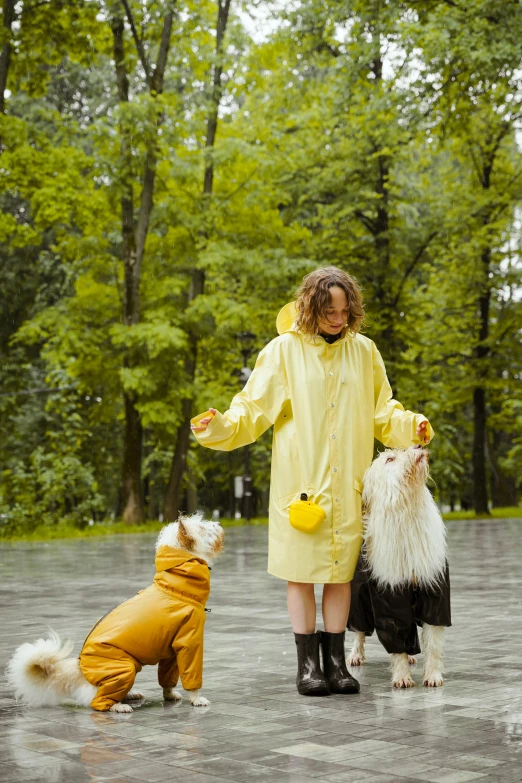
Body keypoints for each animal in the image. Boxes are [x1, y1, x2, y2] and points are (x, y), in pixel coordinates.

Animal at [6, 516, 223, 712]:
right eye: (202, 527)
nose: (218, 524)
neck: (173, 587)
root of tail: (80, 668)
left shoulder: (170, 650)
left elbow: (167, 678)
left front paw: (169, 695)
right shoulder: (189, 643)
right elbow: (191, 676)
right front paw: (196, 699)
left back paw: (130, 694)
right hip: (123, 669)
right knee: (97, 702)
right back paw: (118, 706)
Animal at [346, 450, 446, 688]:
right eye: (389, 459)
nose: (419, 447)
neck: (407, 511)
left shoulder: (434, 591)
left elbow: (433, 641)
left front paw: (433, 676)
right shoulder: (390, 595)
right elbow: (395, 632)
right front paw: (401, 677)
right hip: (358, 598)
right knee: (359, 630)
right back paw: (355, 655)